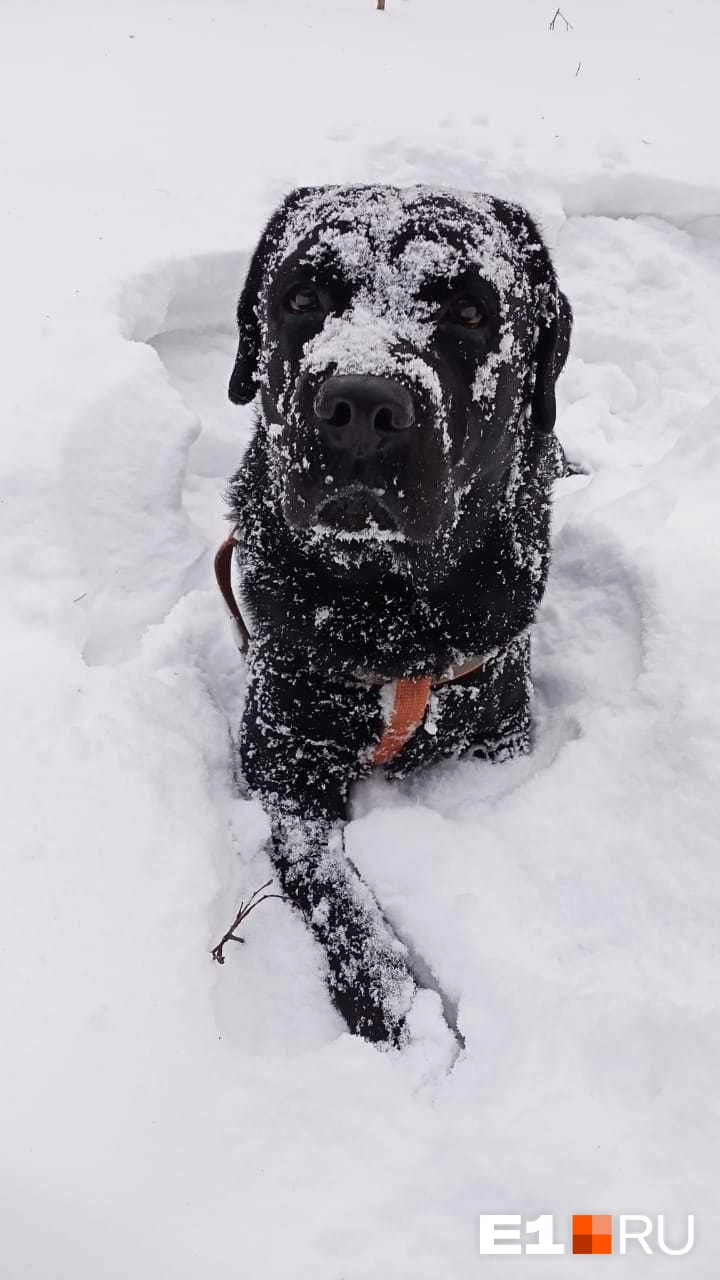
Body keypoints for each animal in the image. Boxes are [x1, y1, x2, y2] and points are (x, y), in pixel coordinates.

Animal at [224, 185, 571, 1044]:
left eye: (471, 311)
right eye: (302, 298)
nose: (360, 404)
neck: (389, 614)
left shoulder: (501, 730)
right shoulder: (283, 755)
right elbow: (331, 884)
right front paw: (392, 1004)